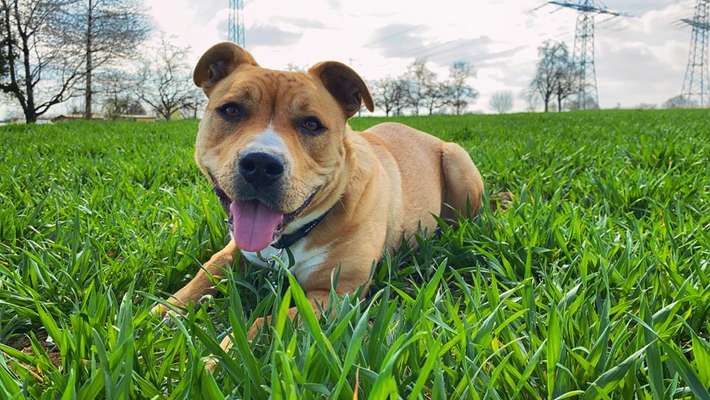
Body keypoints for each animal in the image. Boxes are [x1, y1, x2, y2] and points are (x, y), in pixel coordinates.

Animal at [156, 42, 490, 364]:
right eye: (231, 110)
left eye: (311, 124)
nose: (261, 164)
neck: (291, 237)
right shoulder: (237, 248)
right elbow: (208, 268)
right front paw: (165, 309)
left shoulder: (338, 295)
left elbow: (266, 322)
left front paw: (222, 355)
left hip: (457, 159)